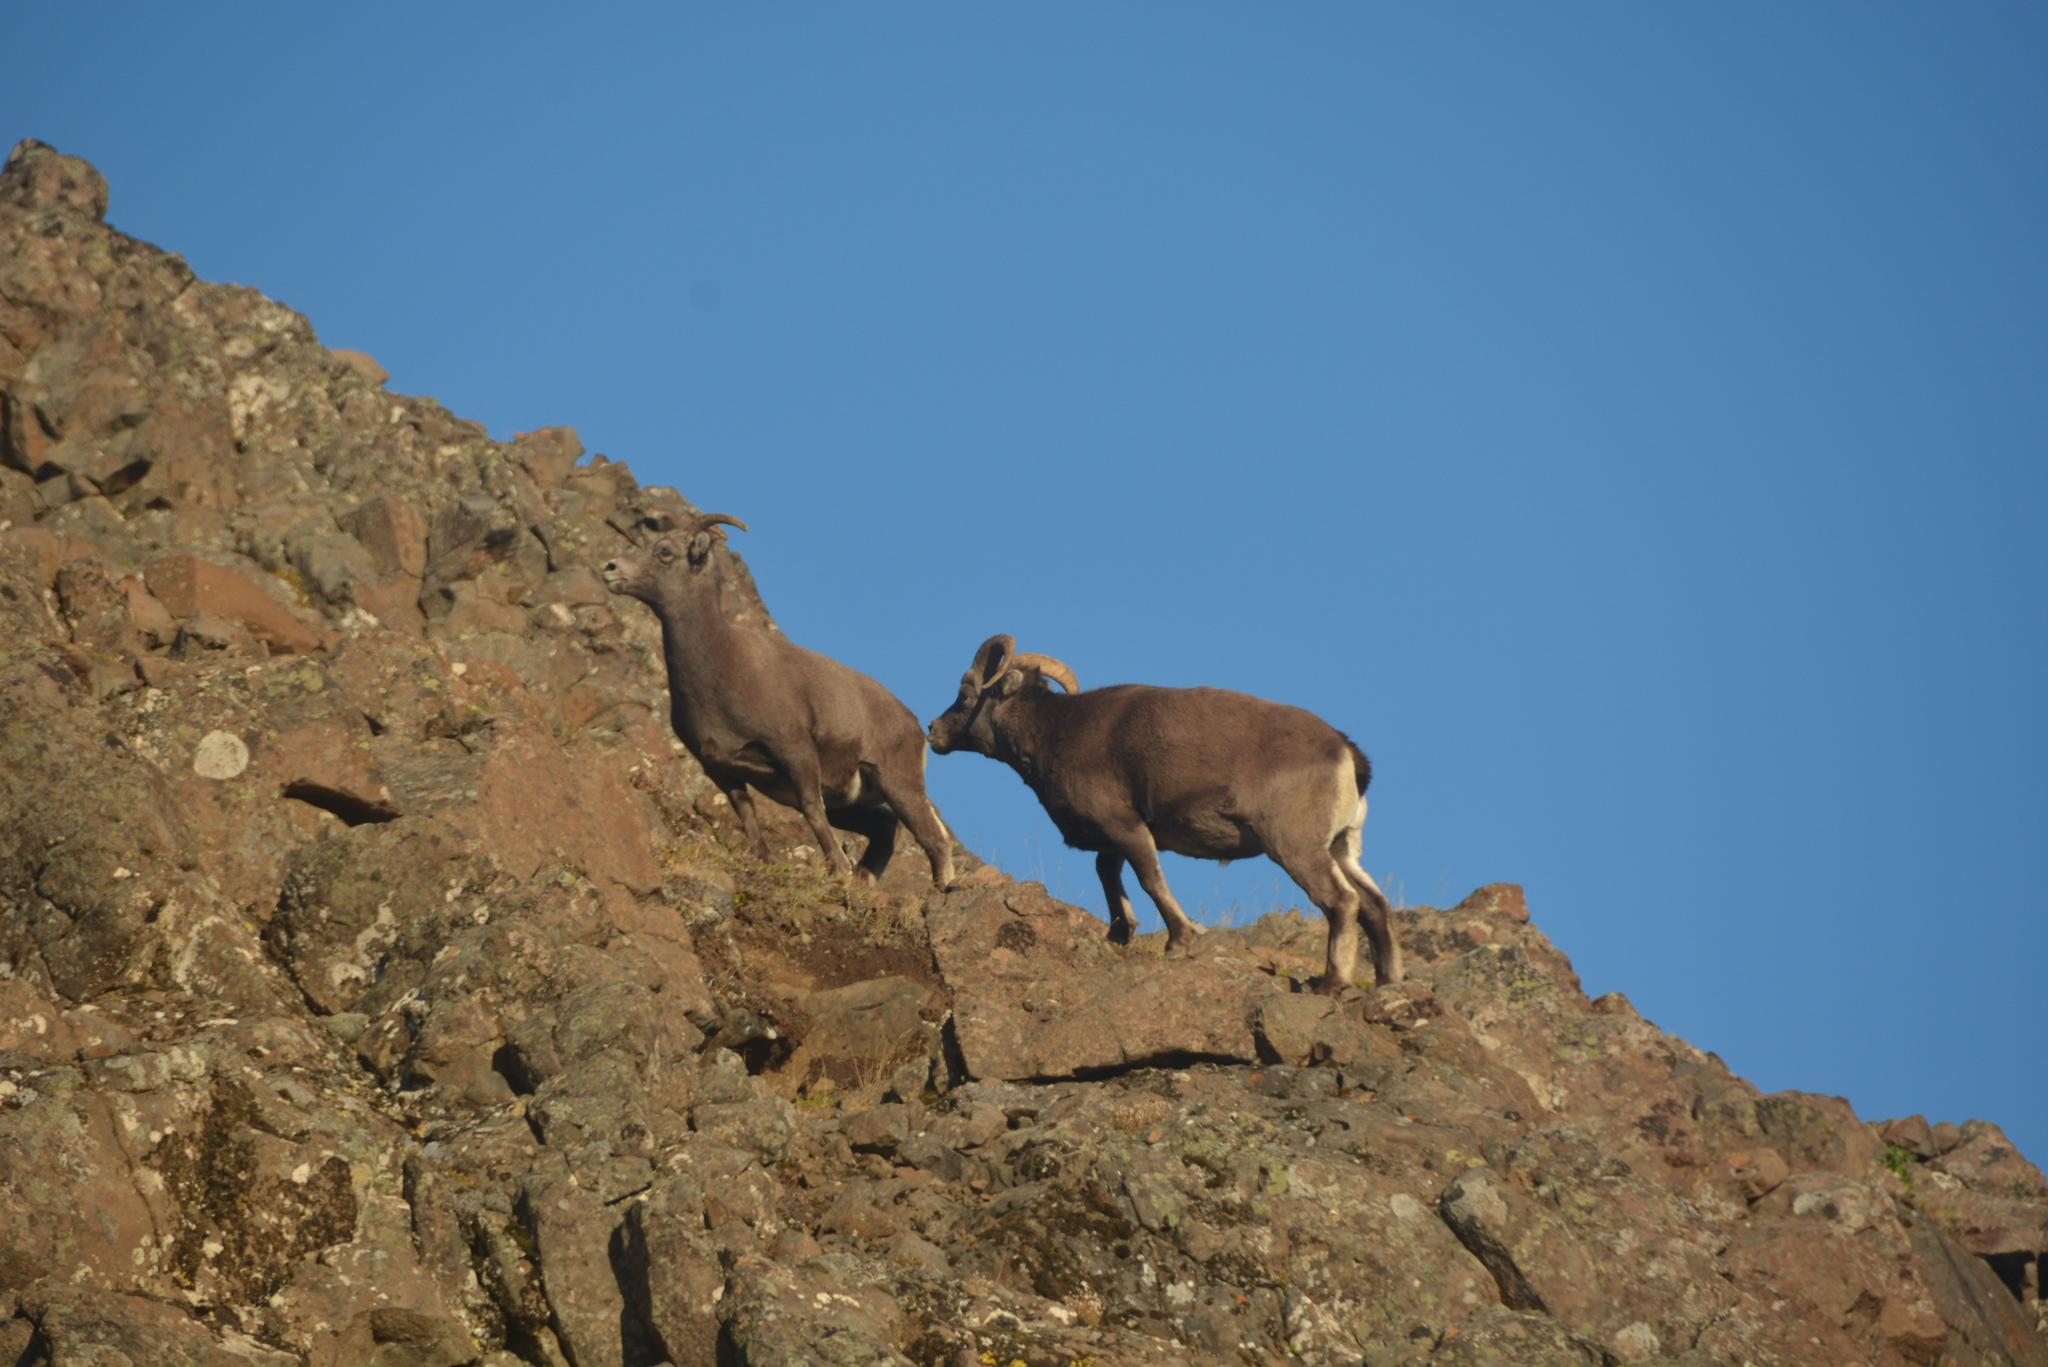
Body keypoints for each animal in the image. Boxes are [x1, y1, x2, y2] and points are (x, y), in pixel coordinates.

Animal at [602, 511, 954, 889]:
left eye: (665, 552)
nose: (611, 568)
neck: (721, 668)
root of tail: (916, 726)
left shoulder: (795, 753)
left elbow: (812, 809)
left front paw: (837, 869)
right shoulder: (721, 768)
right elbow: (747, 815)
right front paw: (766, 860)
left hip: (899, 786)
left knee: (932, 840)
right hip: (853, 803)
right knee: (886, 827)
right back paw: (864, 878)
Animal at [925, 634, 1401, 990]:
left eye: (966, 692)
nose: (933, 730)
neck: (1055, 733)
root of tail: (1346, 753)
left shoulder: (1128, 829)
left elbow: (1150, 880)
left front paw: (1178, 941)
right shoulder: (1113, 839)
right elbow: (1109, 874)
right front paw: (1121, 932)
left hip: (1298, 850)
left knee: (1342, 901)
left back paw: (1332, 984)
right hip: (1341, 848)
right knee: (1374, 904)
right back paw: (1386, 982)